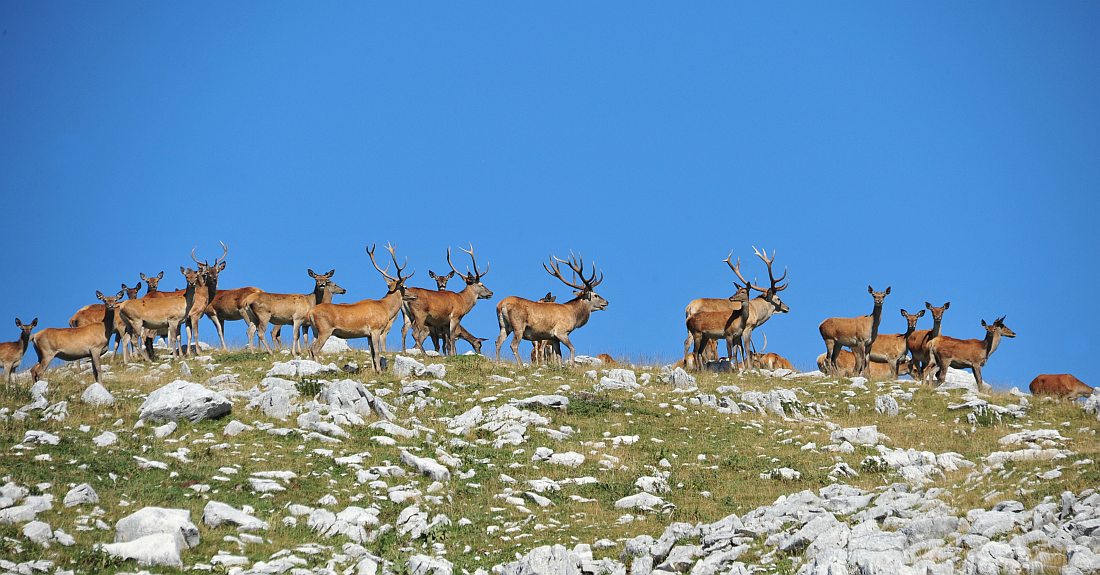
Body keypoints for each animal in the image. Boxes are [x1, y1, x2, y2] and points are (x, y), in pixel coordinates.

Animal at [308, 244, 418, 373]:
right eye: (405, 287)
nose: (416, 296)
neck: (385, 308)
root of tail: (310, 312)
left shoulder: (367, 334)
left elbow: (371, 353)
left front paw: (374, 371)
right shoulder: (375, 329)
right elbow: (377, 351)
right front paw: (380, 371)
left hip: (315, 331)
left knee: (310, 348)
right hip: (325, 329)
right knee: (315, 349)